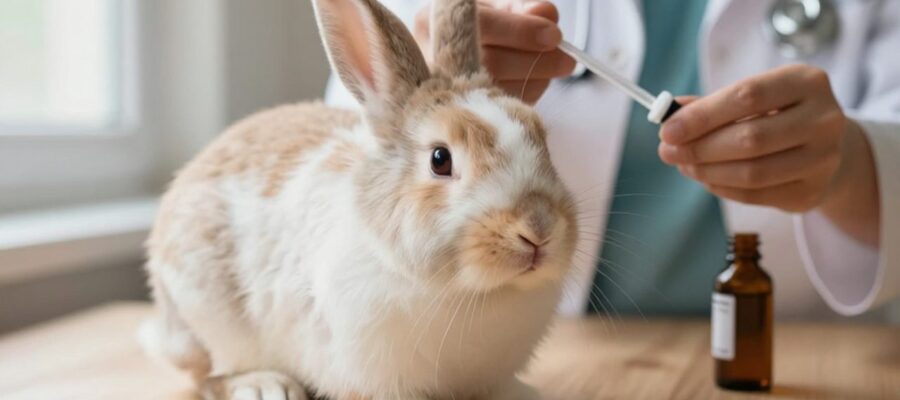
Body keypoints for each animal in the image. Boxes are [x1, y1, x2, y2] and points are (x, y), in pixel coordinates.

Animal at [140, 0, 578, 399]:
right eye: (440, 159)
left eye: (541, 137)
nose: (538, 228)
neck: (473, 293)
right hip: (208, 317)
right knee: (210, 374)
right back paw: (266, 386)